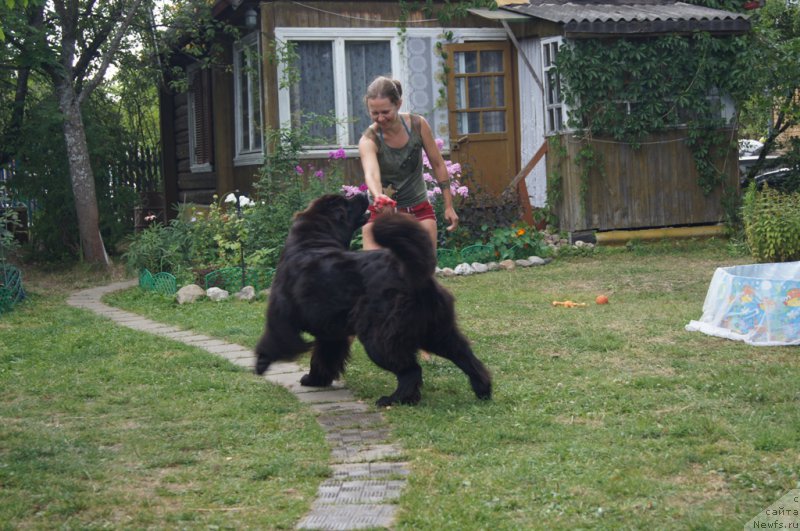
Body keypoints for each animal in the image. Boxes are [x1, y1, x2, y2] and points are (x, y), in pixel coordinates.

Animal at [253, 194, 490, 408]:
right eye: (346, 201)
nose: (361, 194)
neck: (311, 242)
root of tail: (412, 274)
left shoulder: (281, 314)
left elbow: (274, 339)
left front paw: (261, 364)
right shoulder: (331, 334)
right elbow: (322, 357)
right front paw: (315, 379)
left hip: (379, 340)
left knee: (411, 370)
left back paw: (394, 400)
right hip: (438, 332)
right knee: (467, 357)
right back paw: (483, 390)